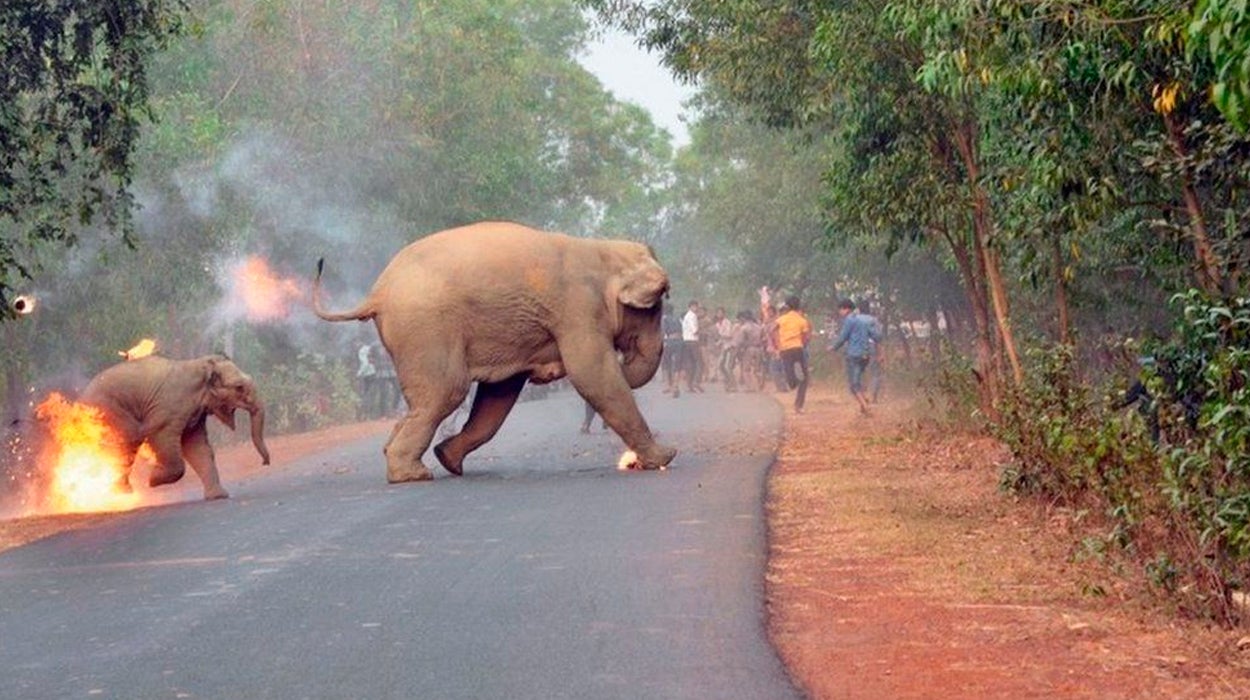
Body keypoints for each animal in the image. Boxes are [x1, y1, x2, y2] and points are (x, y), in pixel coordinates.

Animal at [79, 354, 270, 500]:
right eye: (239, 387)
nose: (265, 463)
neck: (202, 365)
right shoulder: (168, 407)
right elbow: (160, 436)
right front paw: (152, 480)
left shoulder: (195, 414)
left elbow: (197, 447)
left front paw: (218, 496)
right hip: (109, 411)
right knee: (127, 441)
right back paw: (121, 493)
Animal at [312, 220, 676, 482]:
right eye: (656, 306)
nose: (625, 359)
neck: (603, 250)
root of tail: (377, 292)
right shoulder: (578, 310)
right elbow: (594, 375)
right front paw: (665, 457)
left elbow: (499, 394)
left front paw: (449, 457)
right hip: (426, 328)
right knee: (447, 392)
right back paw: (412, 475)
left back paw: (420, 462)